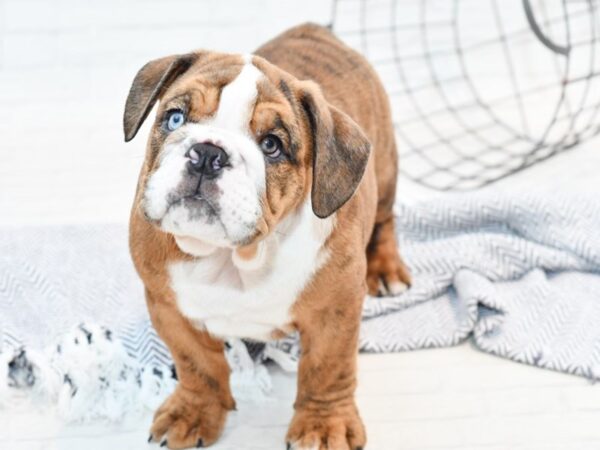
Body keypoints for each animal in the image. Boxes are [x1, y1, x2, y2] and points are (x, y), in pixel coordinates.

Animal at [124, 22, 410, 450]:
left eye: (272, 146)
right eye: (175, 119)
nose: (208, 153)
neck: (235, 257)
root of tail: (316, 30)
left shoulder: (335, 311)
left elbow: (327, 368)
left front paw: (323, 424)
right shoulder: (169, 306)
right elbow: (197, 365)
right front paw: (192, 412)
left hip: (387, 167)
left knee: (386, 219)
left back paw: (387, 268)